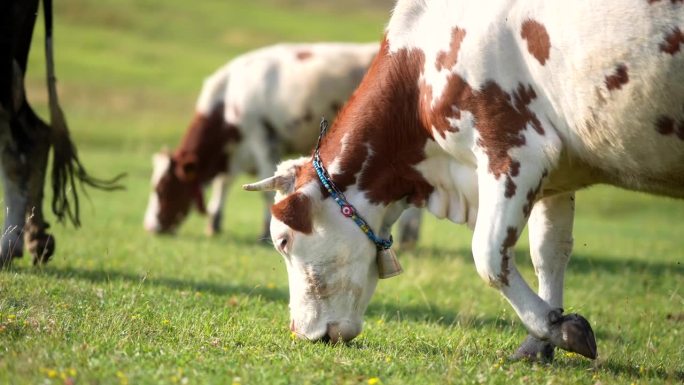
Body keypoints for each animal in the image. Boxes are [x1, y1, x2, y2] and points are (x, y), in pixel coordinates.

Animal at [144, 40, 422, 244]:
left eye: (162, 188)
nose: (150, 227)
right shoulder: (236, 153)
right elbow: (224, 184)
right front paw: (214, 223)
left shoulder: (262, 139)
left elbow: (266, 192)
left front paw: (263, 232)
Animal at [244, 0, 684, 360]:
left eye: (283, 242)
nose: (302, 332)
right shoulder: (559, 172)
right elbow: (549, 252)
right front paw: (538, 342)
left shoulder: (514, 146)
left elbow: (488, 255)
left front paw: (559, 328)